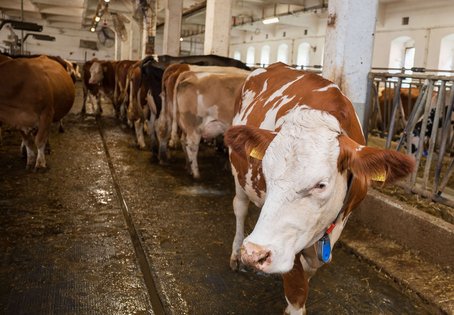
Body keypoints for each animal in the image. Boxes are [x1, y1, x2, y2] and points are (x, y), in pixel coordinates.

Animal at [223, 63, 414, 314]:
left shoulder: (338, 222)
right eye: (266, 173)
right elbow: (296, 291)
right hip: (238, 174)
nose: (254, 254)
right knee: (240, 208)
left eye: (321, 185)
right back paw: (236, 253)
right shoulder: (290, 242)